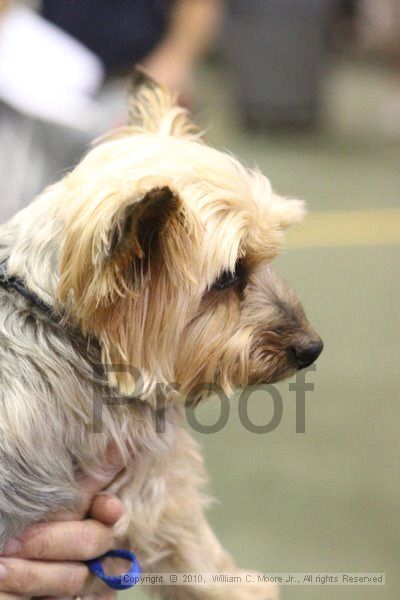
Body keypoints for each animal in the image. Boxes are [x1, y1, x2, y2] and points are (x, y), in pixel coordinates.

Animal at [0, 69, 322, 596]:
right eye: (229, 277)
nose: (312, 348)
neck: (63, 325)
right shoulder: (151, 487)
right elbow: (199, 558)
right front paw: (250, 587)